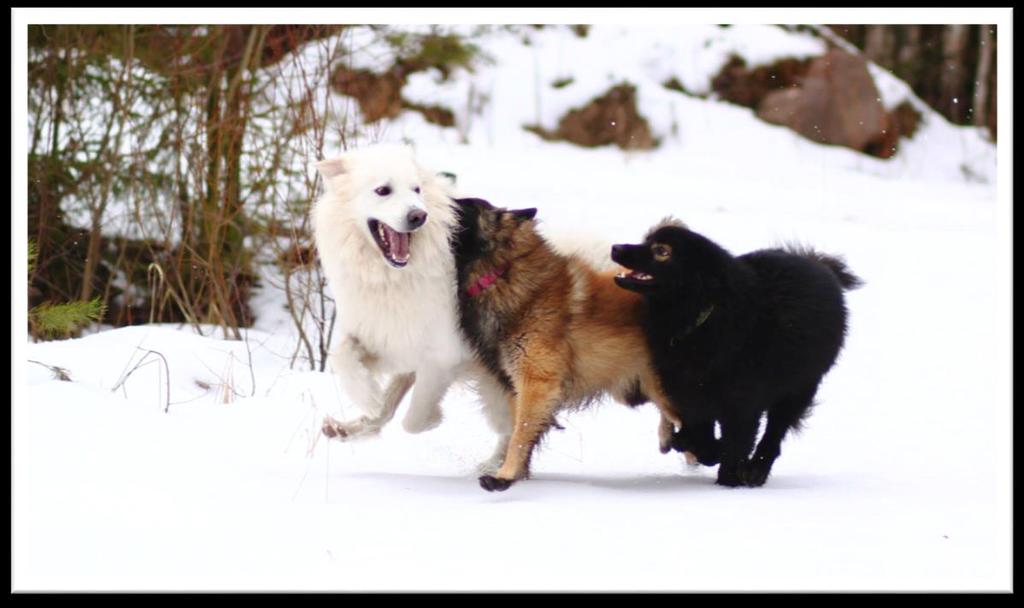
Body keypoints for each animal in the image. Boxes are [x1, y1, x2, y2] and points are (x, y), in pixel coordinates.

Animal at [452, 196, 684, 489]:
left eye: (465, 205)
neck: (502, 270)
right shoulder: (515, 386)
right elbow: (518, 432)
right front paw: (516, 474)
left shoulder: (536, 383)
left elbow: (520, 435)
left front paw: (503, 476)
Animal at [610, 220, 860, 485]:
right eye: (646, 241)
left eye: (662, 251)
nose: (616, 248)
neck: (704, 313)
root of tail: (816, 263)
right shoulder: (690, 395)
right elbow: (704, 440)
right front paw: (696, 447)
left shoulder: (743, 403)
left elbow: (735, 446)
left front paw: (729, 483)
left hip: (799, 389)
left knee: (774, 433)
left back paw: (757, 470)